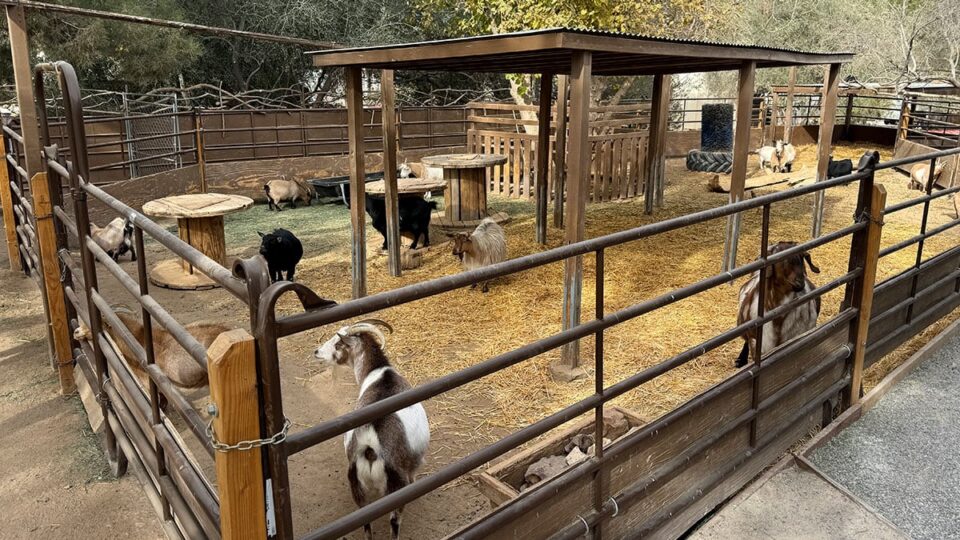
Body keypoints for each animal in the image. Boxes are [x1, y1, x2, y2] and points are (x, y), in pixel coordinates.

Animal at [314, 320, 430, 540]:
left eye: (337, 343)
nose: (316, 352)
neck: (381, 374)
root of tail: (369, 446)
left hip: (357, 488)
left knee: (365, 522)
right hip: (395, 487)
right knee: (394, 521)